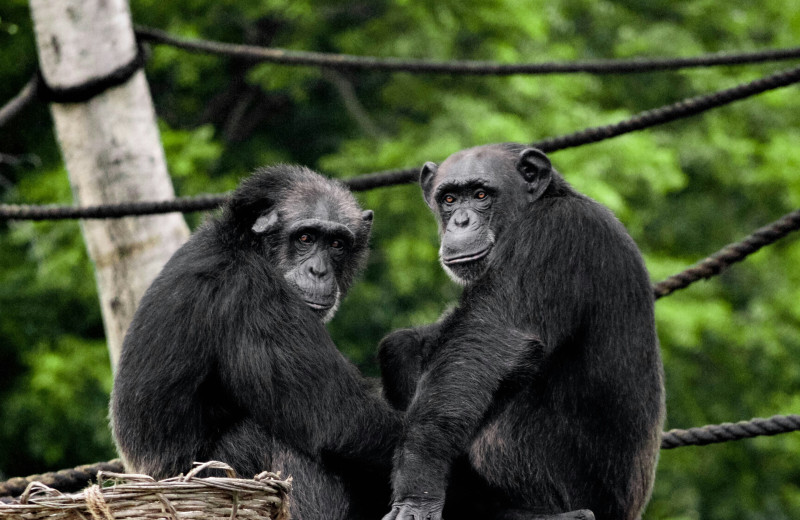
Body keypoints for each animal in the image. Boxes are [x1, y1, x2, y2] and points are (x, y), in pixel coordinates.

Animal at [108, 166, 400, 520]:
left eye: (337, 243)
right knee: (273, 437)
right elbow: (341, 418)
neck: (247, 246)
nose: (319, 270)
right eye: (305, 238)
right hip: (215, 475)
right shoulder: (254, 297)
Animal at [378, 144, 664, 520]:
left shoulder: (553, 234)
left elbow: (488, 342)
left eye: (481, 195)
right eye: (449, 198)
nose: (461, 221)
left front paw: (418, 486)